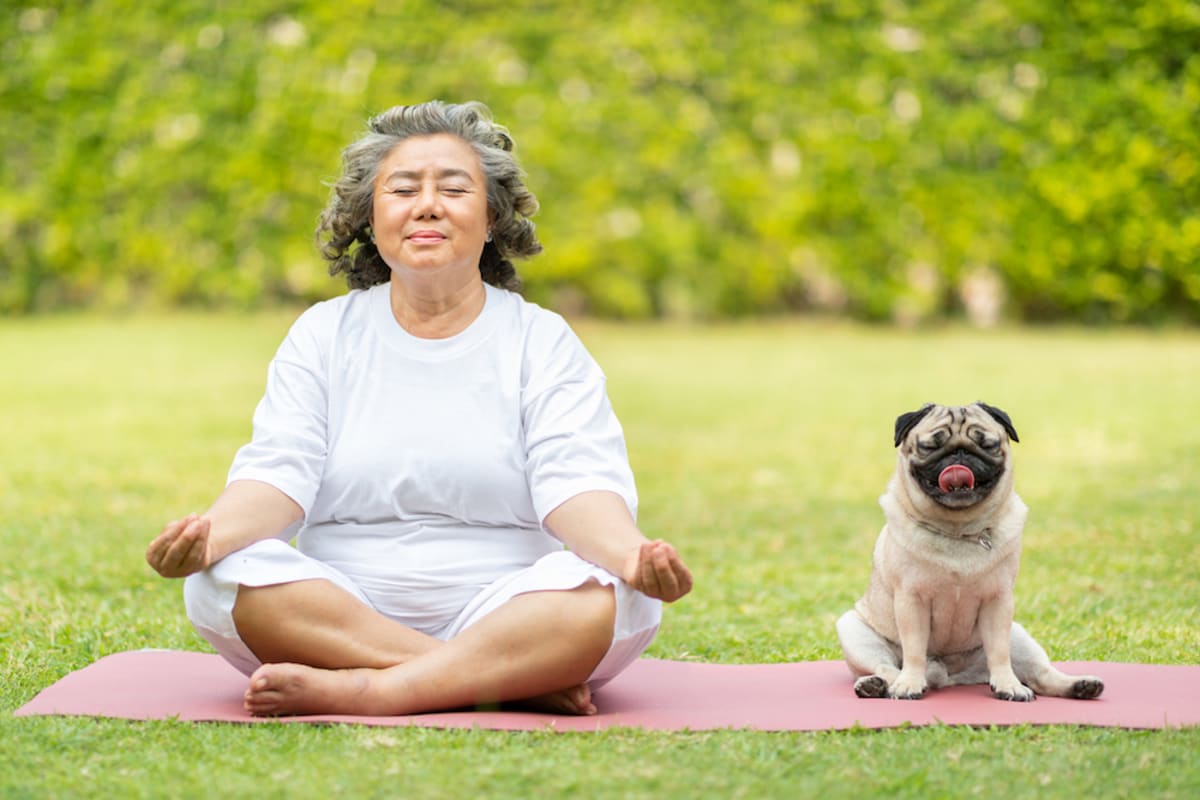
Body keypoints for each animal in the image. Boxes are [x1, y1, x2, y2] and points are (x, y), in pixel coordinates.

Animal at [835, 407, 1104, 700]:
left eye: (987, 445)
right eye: (930, 447)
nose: (960, 453)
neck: (958, 529)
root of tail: (949, 678)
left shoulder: (998, 602)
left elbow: (999, 653)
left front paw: (1008, 685)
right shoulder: (911, 600)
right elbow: (914, 650)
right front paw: (909, 684)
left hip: (1019, 637)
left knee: (1039, 675)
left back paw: (1079, 685)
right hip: (855, 633)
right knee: (885, 667)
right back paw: (878, 685)